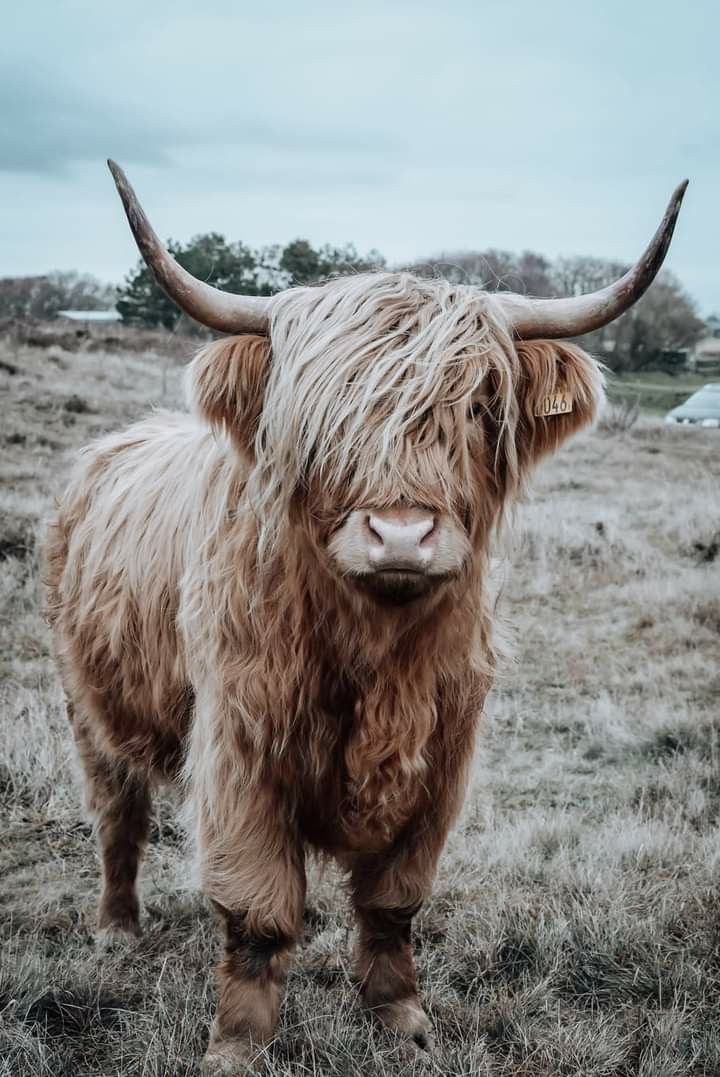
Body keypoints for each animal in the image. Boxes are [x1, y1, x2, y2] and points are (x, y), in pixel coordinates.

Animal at [44, 163, 684, 1072]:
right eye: (319, 421)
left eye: (478, 408)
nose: (402, 534)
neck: (377, 653)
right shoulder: (241, 748)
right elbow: (258, 910)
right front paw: (238, 1045)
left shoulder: (445, 755)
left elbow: (394, 898)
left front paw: (400, 1016)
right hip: (89, 705)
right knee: (117, 817)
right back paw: (116, 928)